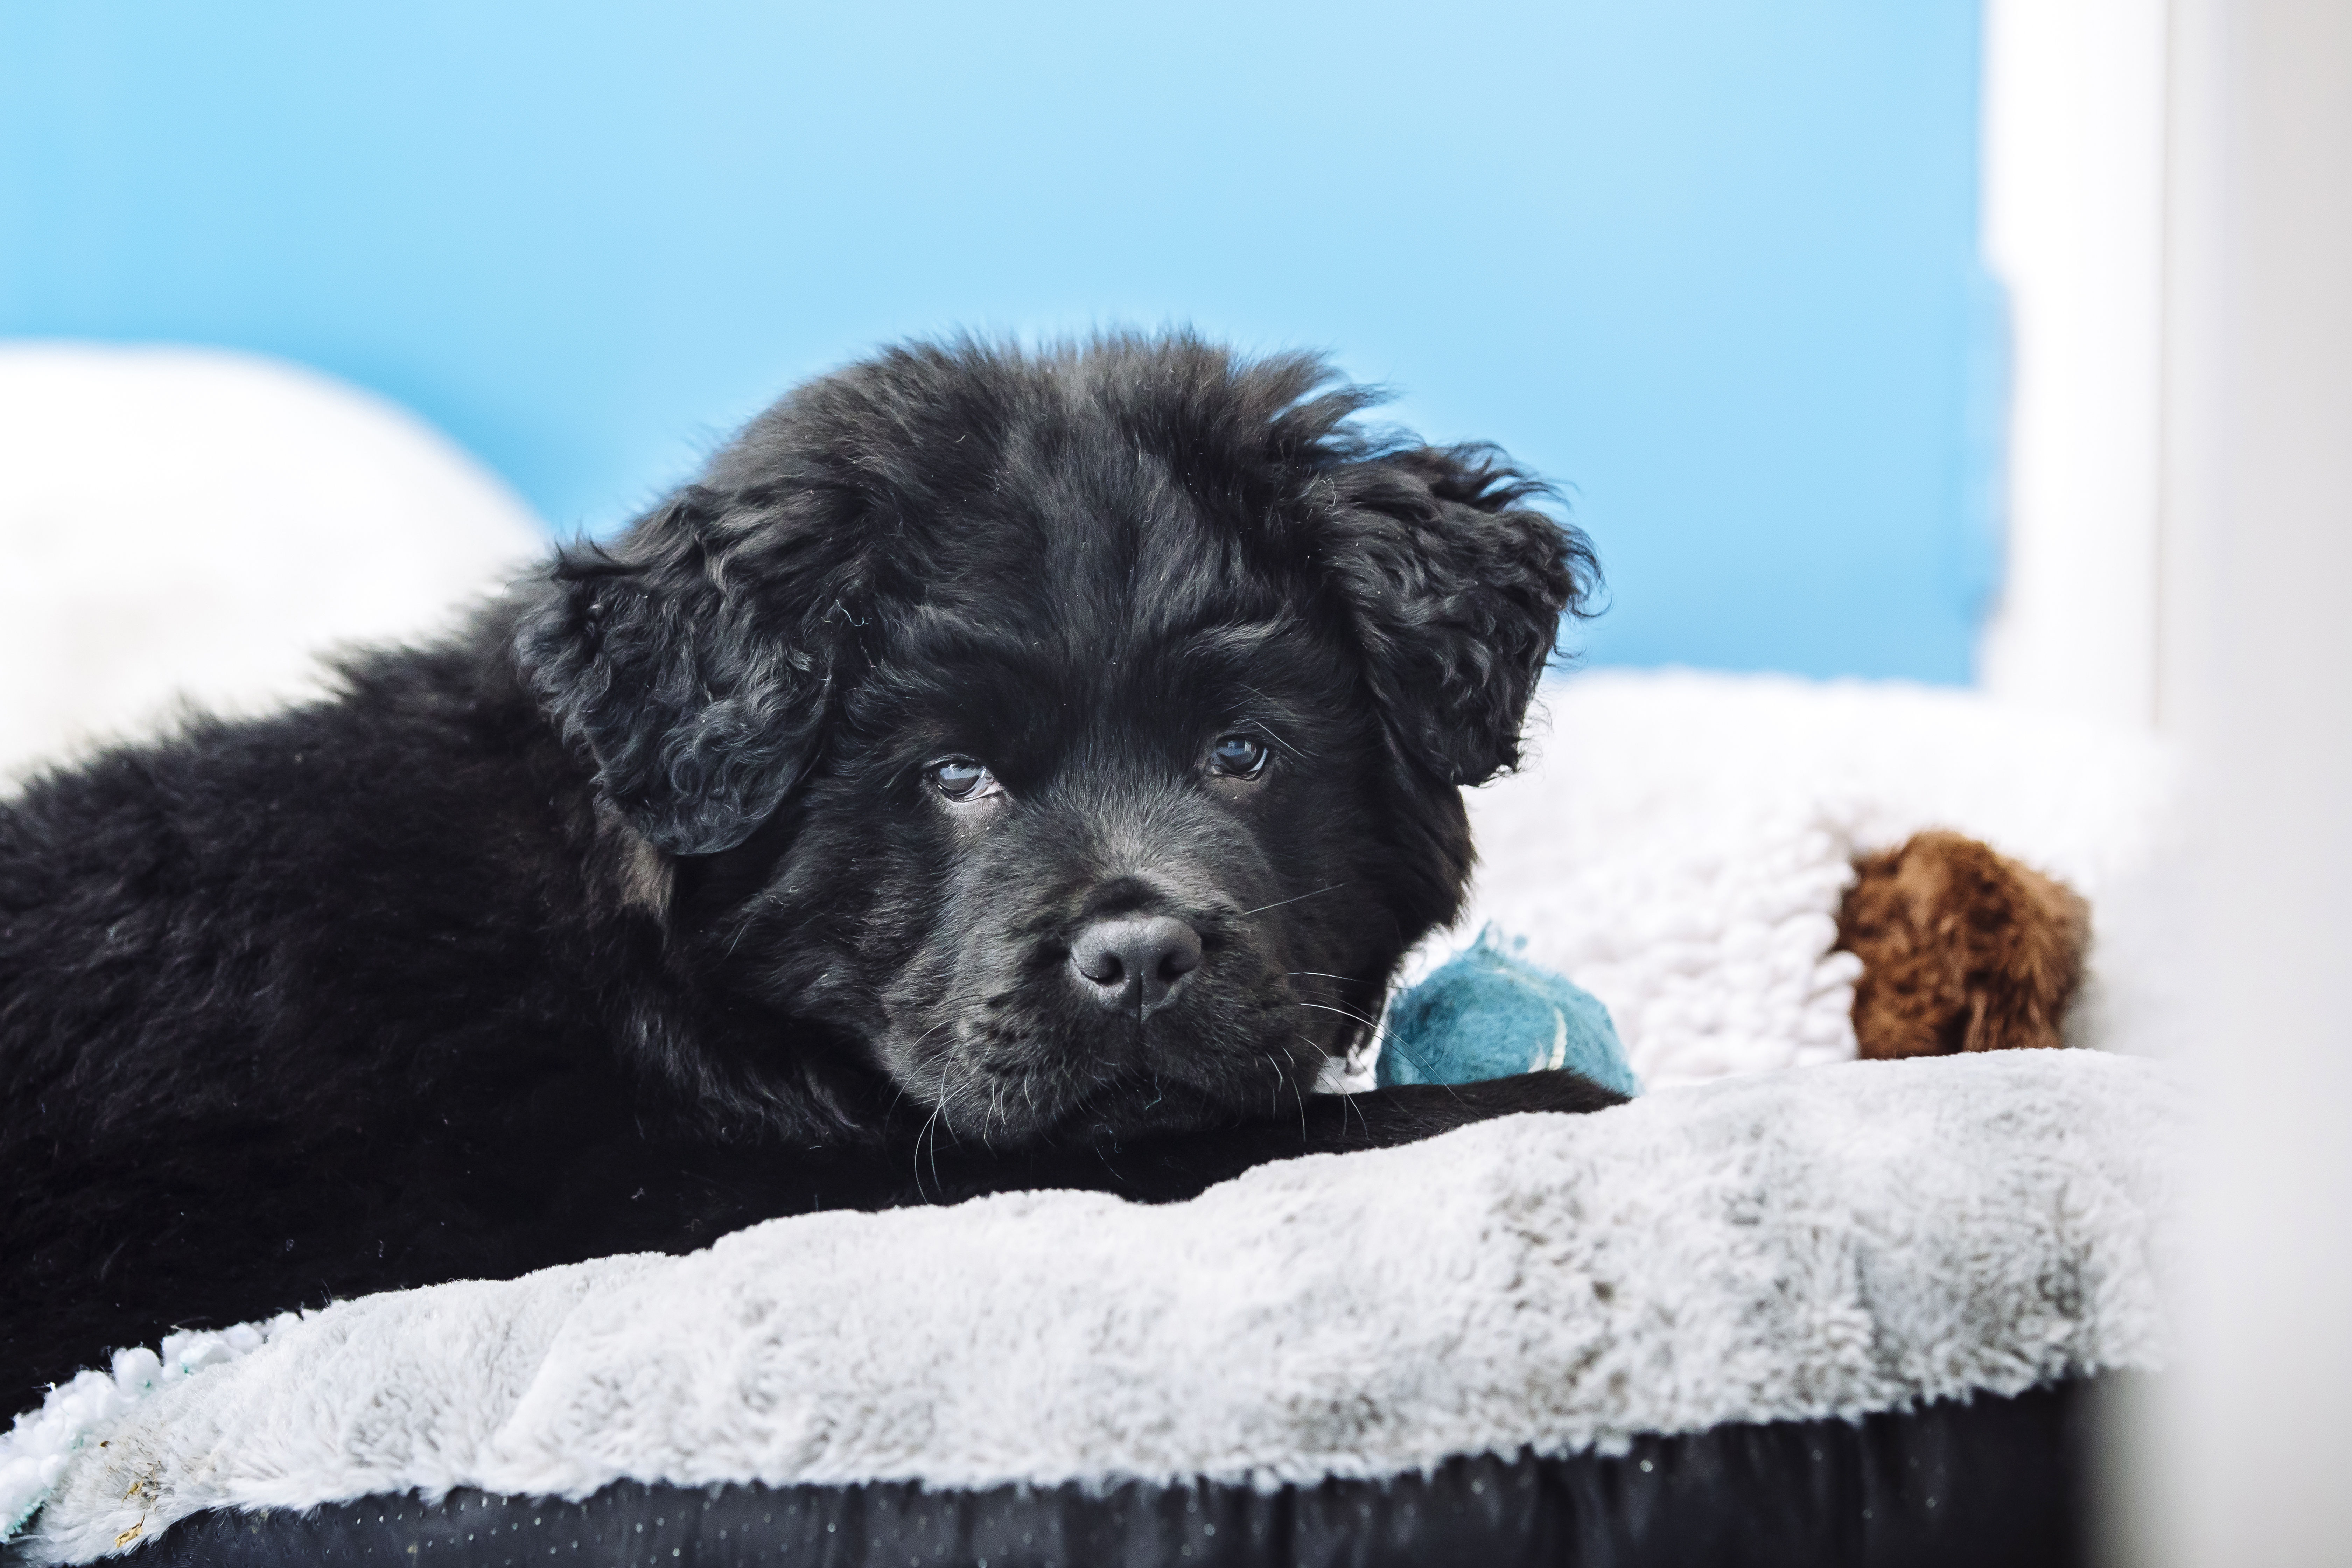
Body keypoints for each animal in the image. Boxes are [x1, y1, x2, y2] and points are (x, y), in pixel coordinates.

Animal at [0, 334, 1618, 1410]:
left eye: (1241, 753)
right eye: (954, 776)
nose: (1143, 958)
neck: (628, 951)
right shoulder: (780, 1183)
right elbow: (1321, 1131)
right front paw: (1568, 1095)